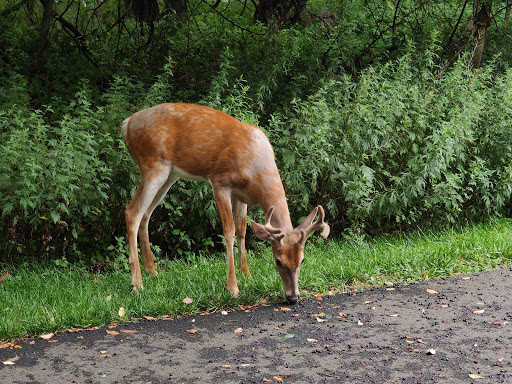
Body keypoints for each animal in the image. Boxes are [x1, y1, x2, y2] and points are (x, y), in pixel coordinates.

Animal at [120, 103, 330, 304]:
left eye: (302, 260)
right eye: (278, 261)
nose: (293, 297)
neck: (256, 169)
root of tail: (127, 124)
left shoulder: (242, 195)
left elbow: (242, 229)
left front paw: (247, 274)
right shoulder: (220, 182)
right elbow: (229, 232)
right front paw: (233, 288)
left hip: (170, 174)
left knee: (146, 215)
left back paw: (152, 272)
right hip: (153, 165)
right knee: (132, 212)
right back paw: (137, 284)